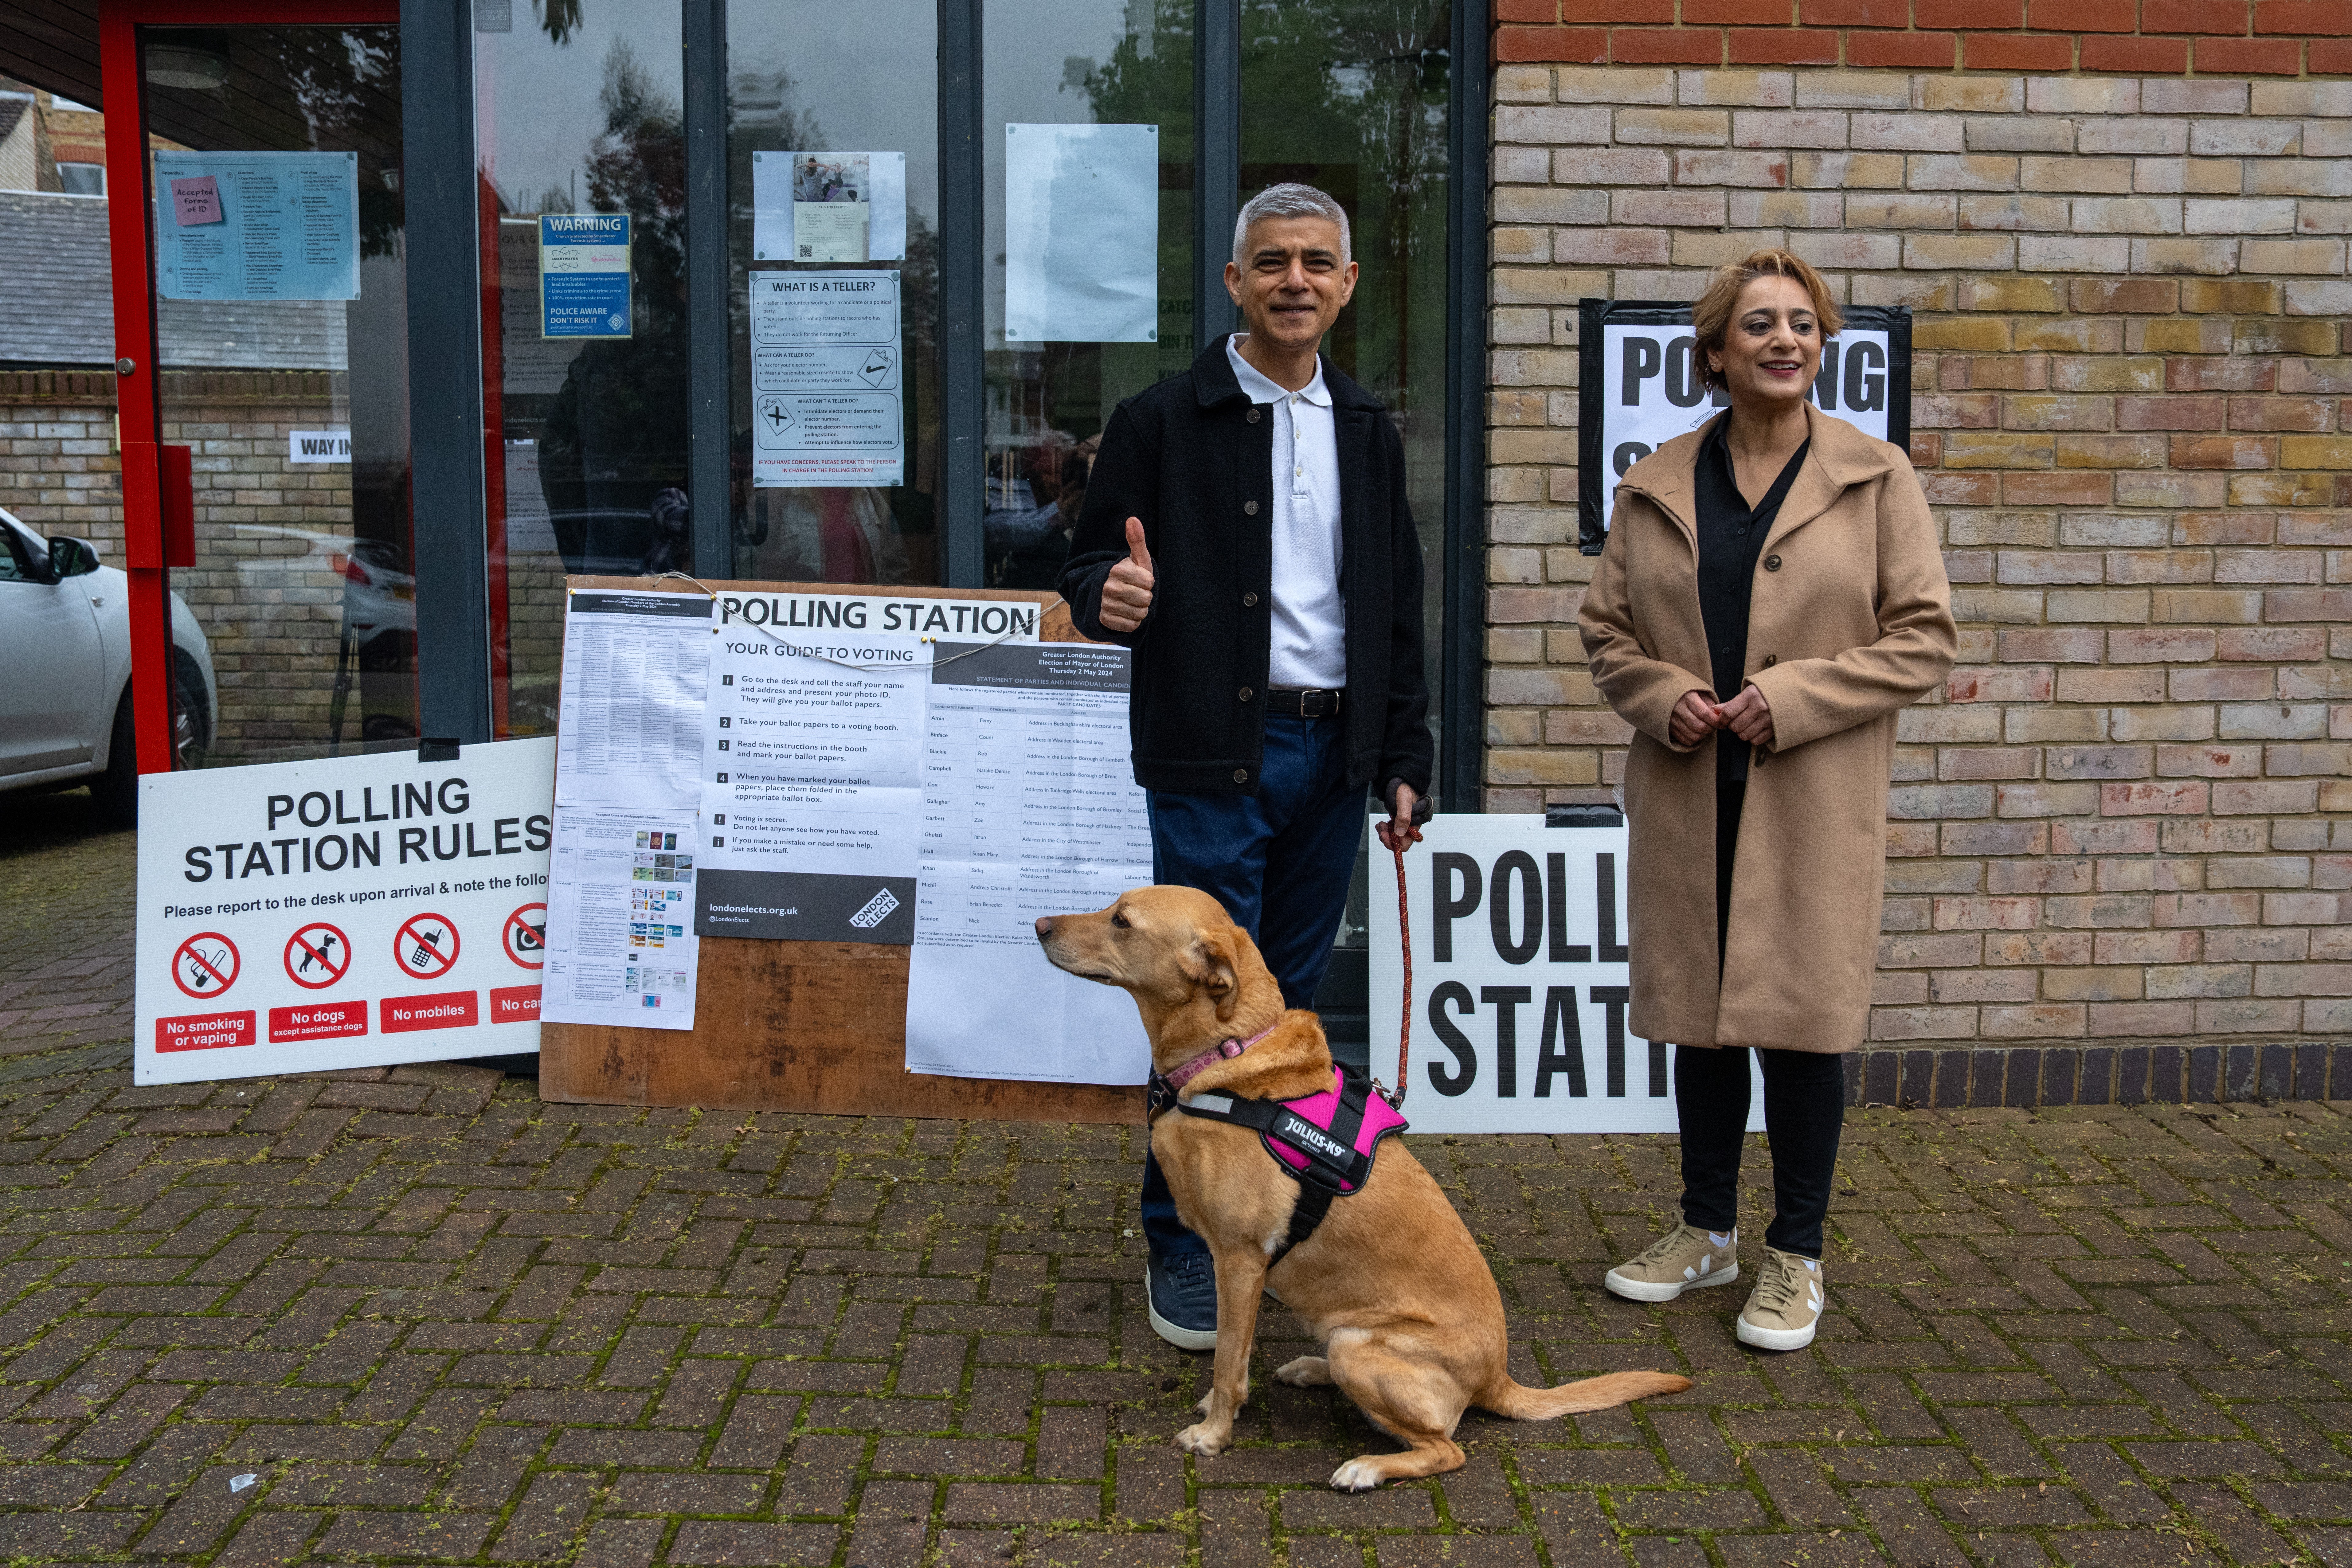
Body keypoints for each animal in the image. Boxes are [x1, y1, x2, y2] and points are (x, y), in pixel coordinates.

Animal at [1035, 889, 1693, 1495]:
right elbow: (1234, 1353)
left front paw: (1215, 1434)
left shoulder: (1240, 1262)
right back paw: (1311, 1369)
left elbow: (1227, 1365)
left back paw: (1367, 1467)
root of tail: (1498, 1378)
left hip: (1362, 1345)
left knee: (1446, 1448)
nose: (1039, 924)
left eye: (1122, 921)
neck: (1229, 1055)